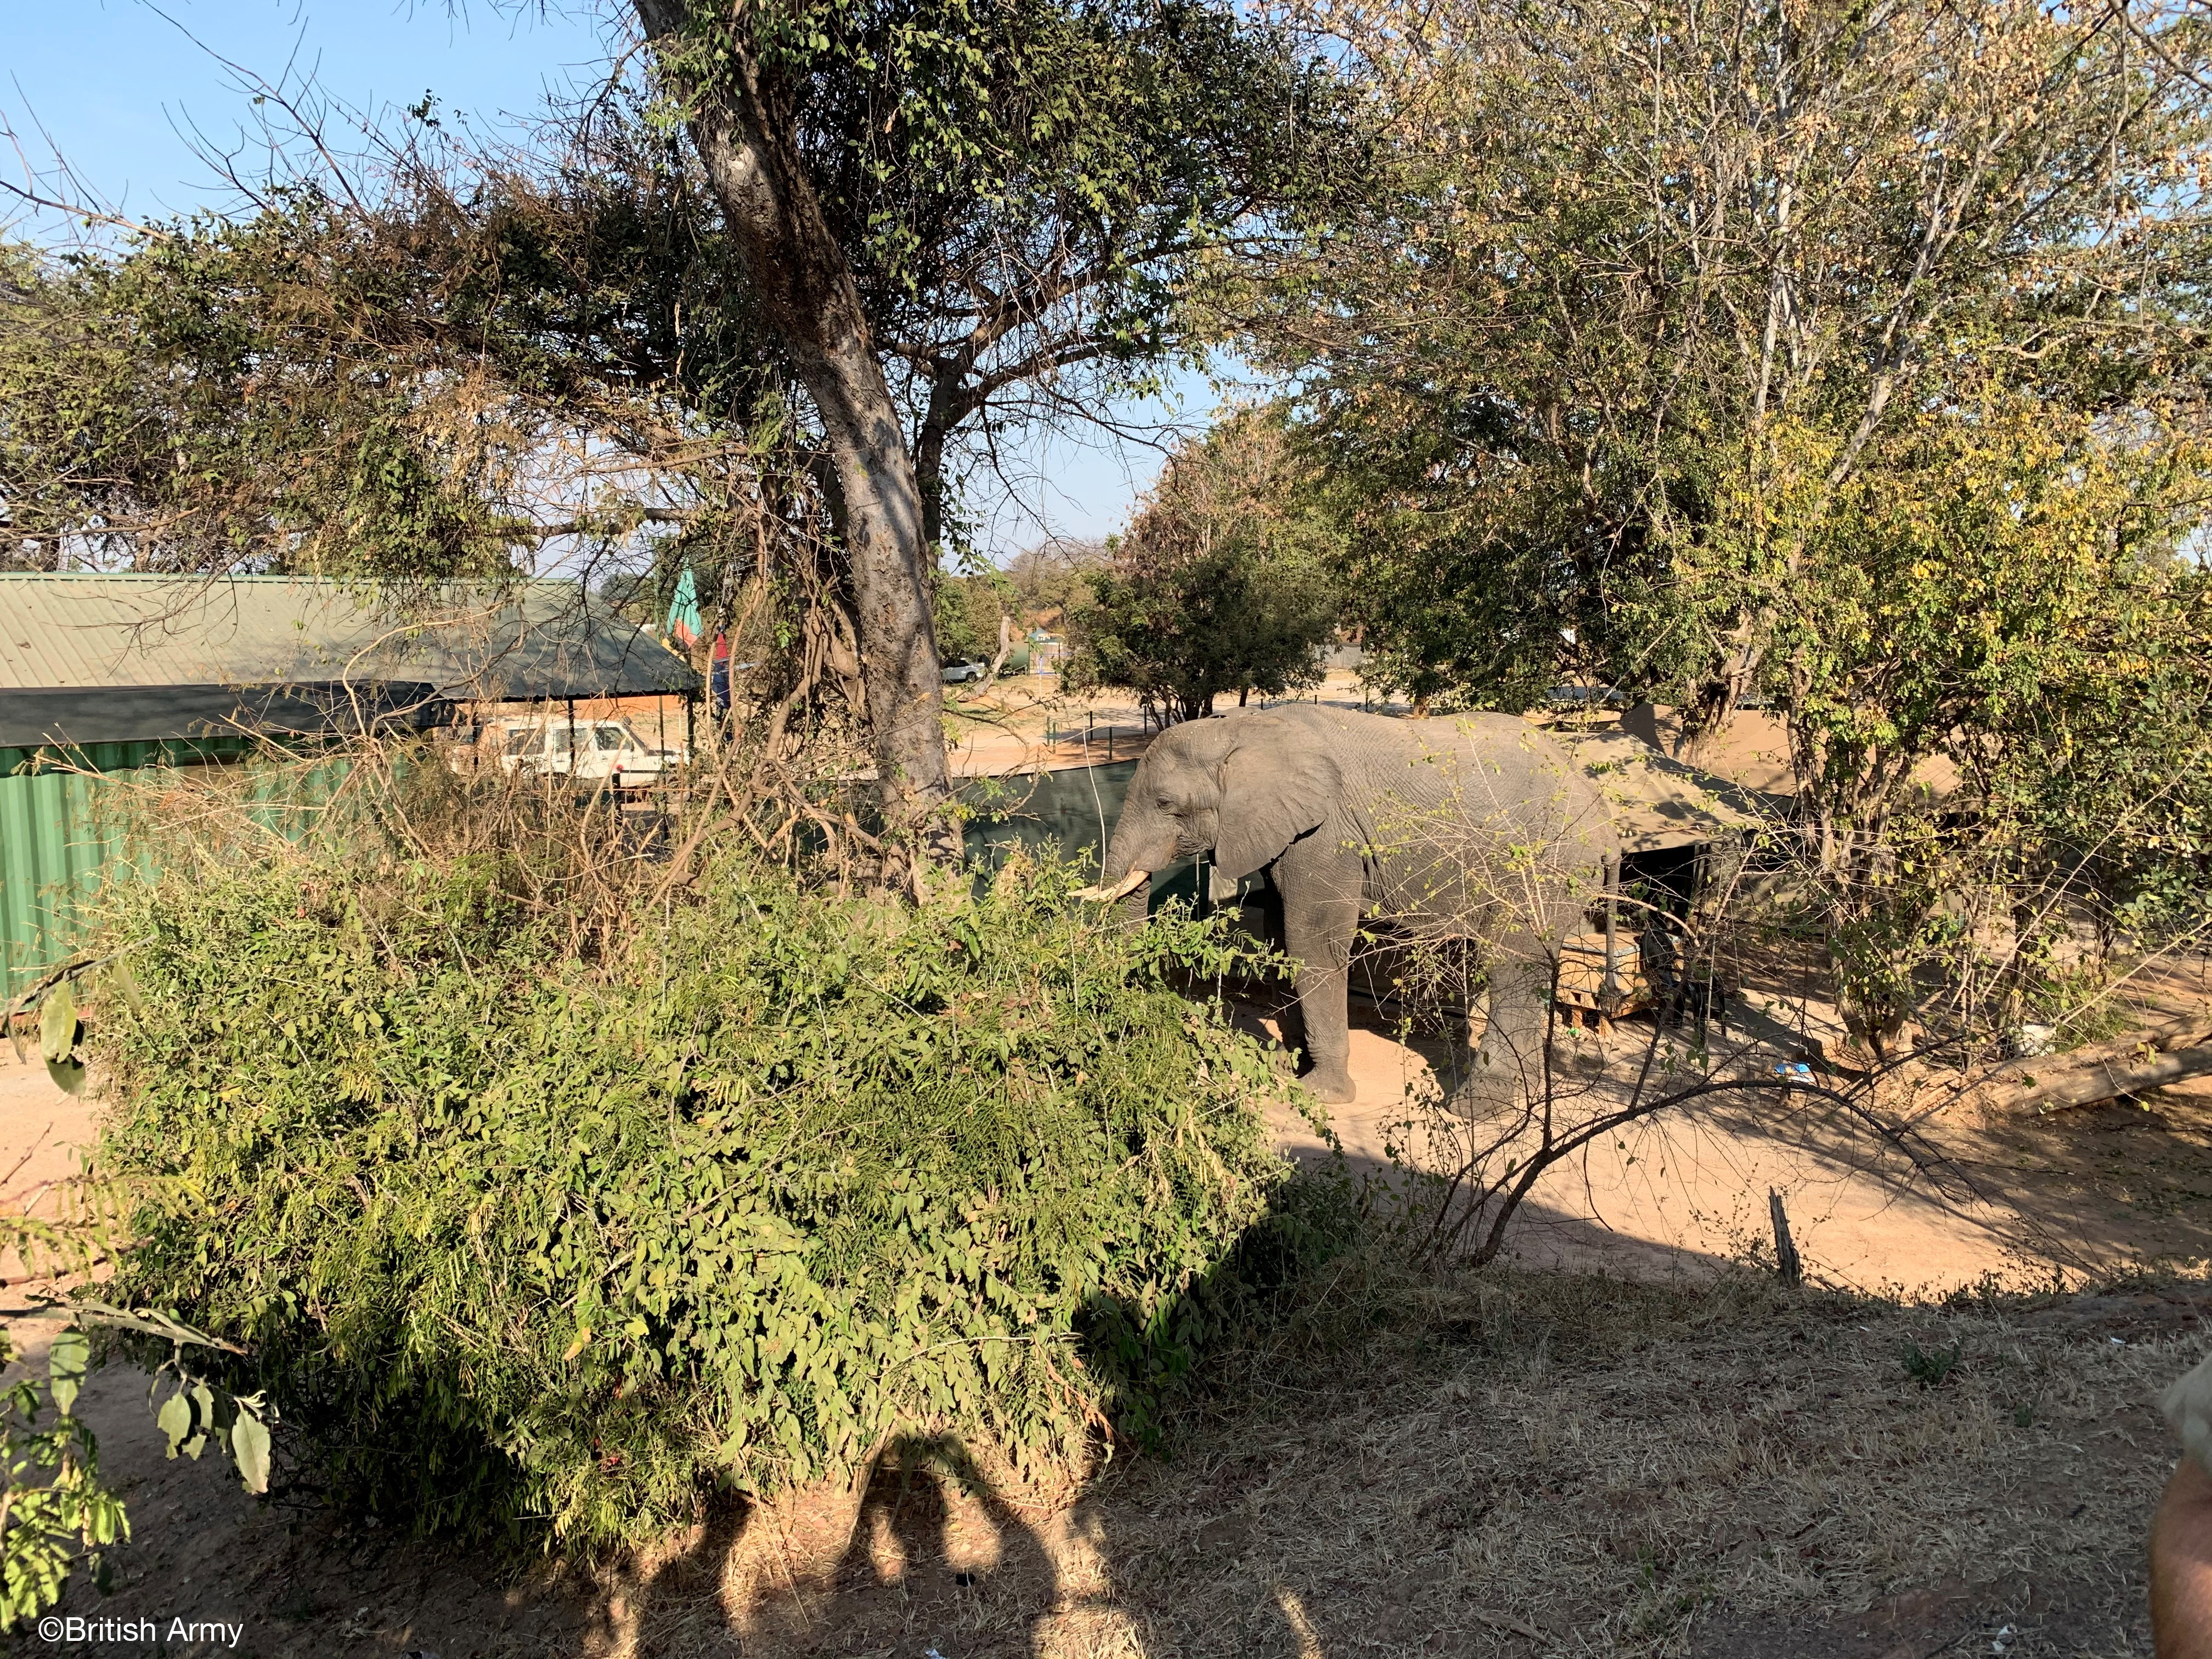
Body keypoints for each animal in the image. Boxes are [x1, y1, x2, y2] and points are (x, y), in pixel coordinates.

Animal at [1082, 705, 1619, 1107]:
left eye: (1165, 804)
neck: (1242, 728)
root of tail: (1601, 807)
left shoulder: (1328, 835)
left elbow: (1312, 943)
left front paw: (1321, 1094)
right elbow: (1280, 934)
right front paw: (1289, 1067)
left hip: (1547, 863)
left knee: (1511, 965)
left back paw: (1474, 1110)